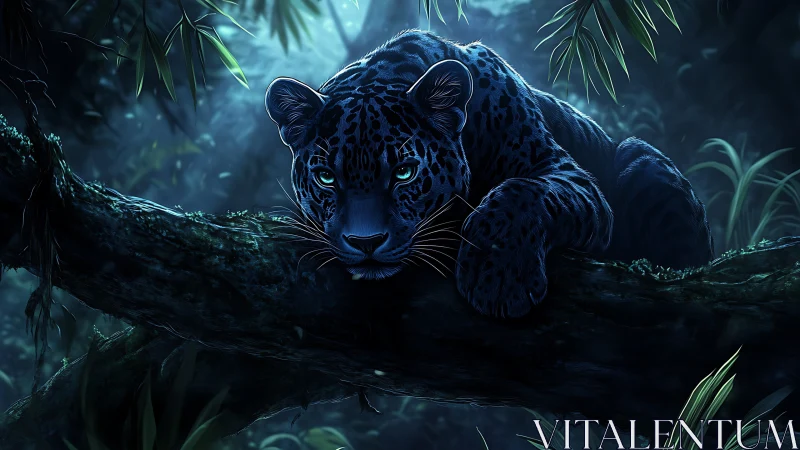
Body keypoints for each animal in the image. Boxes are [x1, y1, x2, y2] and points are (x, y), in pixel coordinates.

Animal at [265, 29, 714, 318]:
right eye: (326, 178)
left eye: (404, 173)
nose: (366, 242)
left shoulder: (564, 172)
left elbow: (524, 190)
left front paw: (498, 276)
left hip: (645, 161)